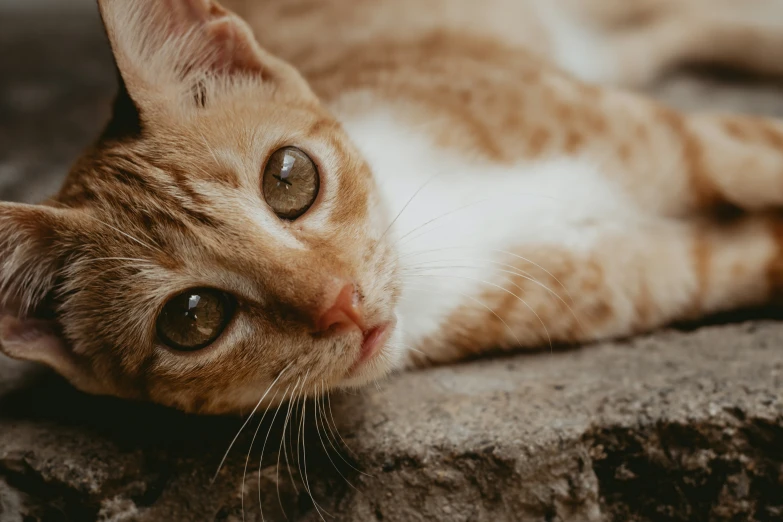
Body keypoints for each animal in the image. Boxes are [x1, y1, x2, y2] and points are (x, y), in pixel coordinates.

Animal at [1, 0, 783, 412]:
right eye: (192, 319)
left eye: (289, 178)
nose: (340, 301)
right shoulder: (662, 273)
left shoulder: (690, 143)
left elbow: (758, 155)